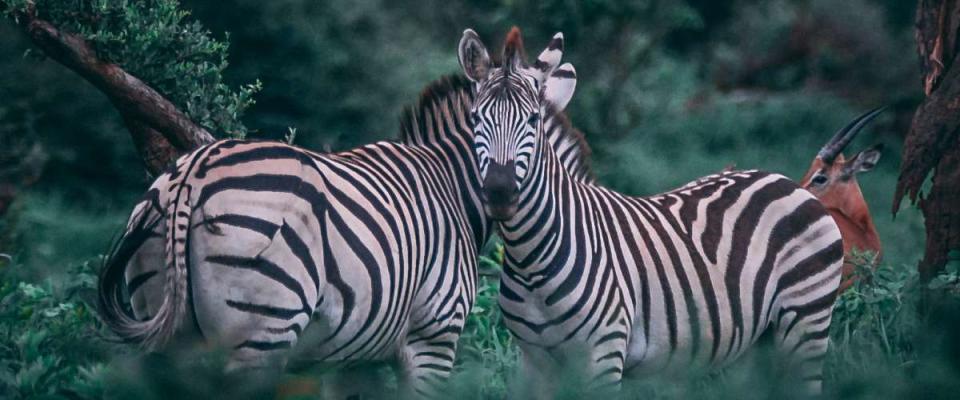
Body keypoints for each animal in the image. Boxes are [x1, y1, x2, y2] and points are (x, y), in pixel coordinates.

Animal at [99, 72, 592, 396]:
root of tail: (193, 172)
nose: (502, 193)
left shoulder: (355, 355)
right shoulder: (434, 336)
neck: (451, 185)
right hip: (261, 332)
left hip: (166, 322)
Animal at [458, 27, 840, 396]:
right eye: (475, 118)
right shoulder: (535, 361)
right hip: (756, 343)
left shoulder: (604, 353)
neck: (532, 260)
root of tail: (784, 180)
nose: (500, 193)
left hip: (806, 321)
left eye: (533, 119)